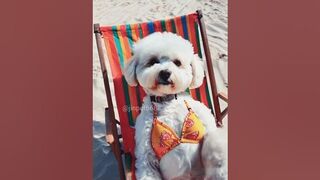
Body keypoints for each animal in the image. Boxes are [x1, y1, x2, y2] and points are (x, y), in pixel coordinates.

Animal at [124, 31, 226, 179]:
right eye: (152, 61)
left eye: (177, 63)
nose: (165, 72)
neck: (167, 101)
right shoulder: (145, 151)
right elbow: (147, 167)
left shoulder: (205, 120)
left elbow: (215, 143)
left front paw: (220, 170)